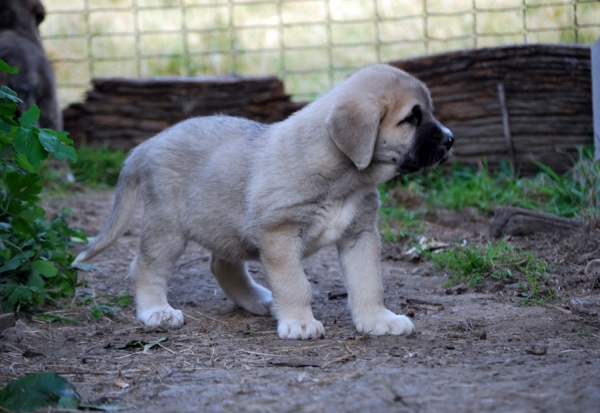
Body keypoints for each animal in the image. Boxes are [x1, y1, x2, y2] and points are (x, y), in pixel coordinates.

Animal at [72, 64, 452, 340]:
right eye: (412, 118)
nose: (450, 139)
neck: (344, 178)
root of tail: (149, 143)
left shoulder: (360, 235)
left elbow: (368, 283)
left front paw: (377, 320)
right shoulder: (279, 234)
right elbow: (296, 284)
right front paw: (299, 322)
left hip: (223, 226)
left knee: (222, 266)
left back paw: (256, 299)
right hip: (167, 228)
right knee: (145, 267)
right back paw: (155, 311)